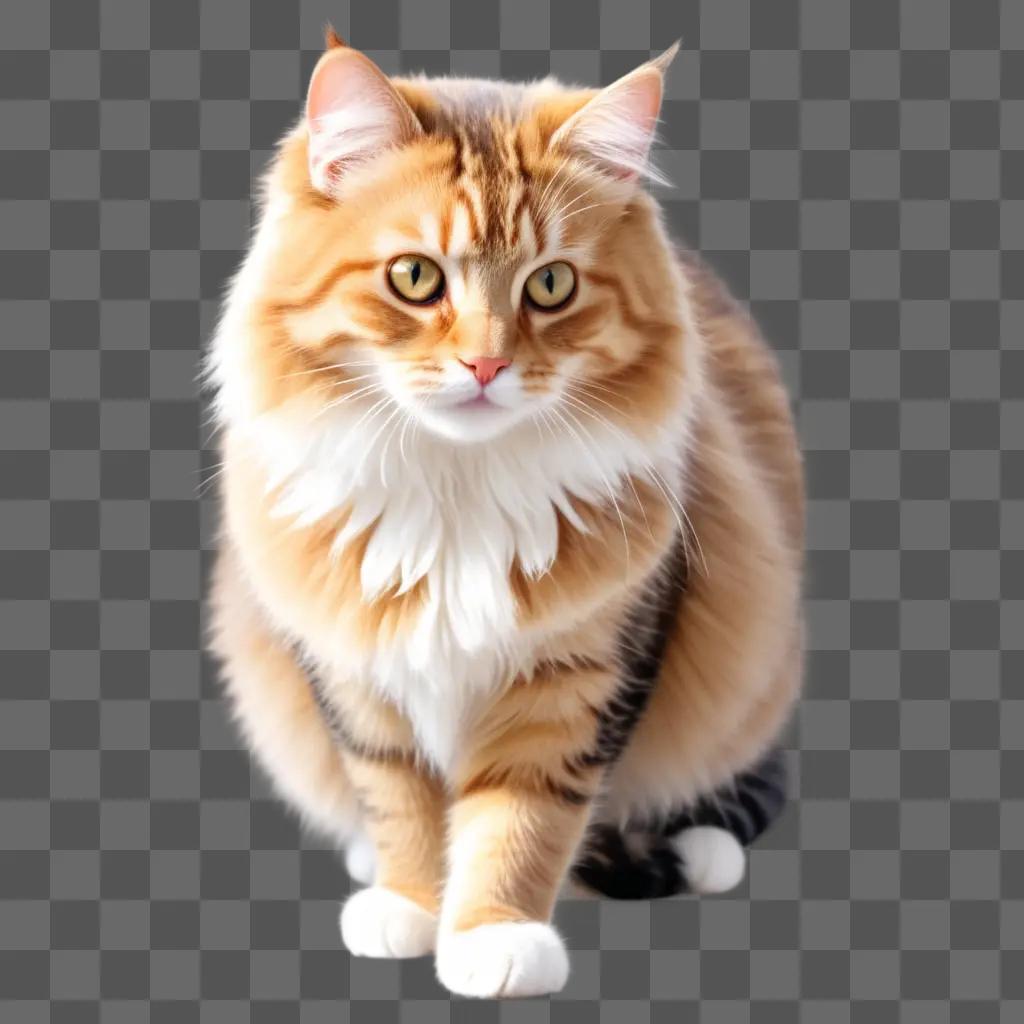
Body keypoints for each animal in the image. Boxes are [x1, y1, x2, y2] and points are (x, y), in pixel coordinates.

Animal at [205, 32, 798, 999]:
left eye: (550, 285)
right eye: (415, 278)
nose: (485, 366)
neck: (457, 485)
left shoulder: (580, 675)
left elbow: (524, 818)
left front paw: (494, 936)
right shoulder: (358, 670)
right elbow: (400, 800)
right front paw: (411, 904)